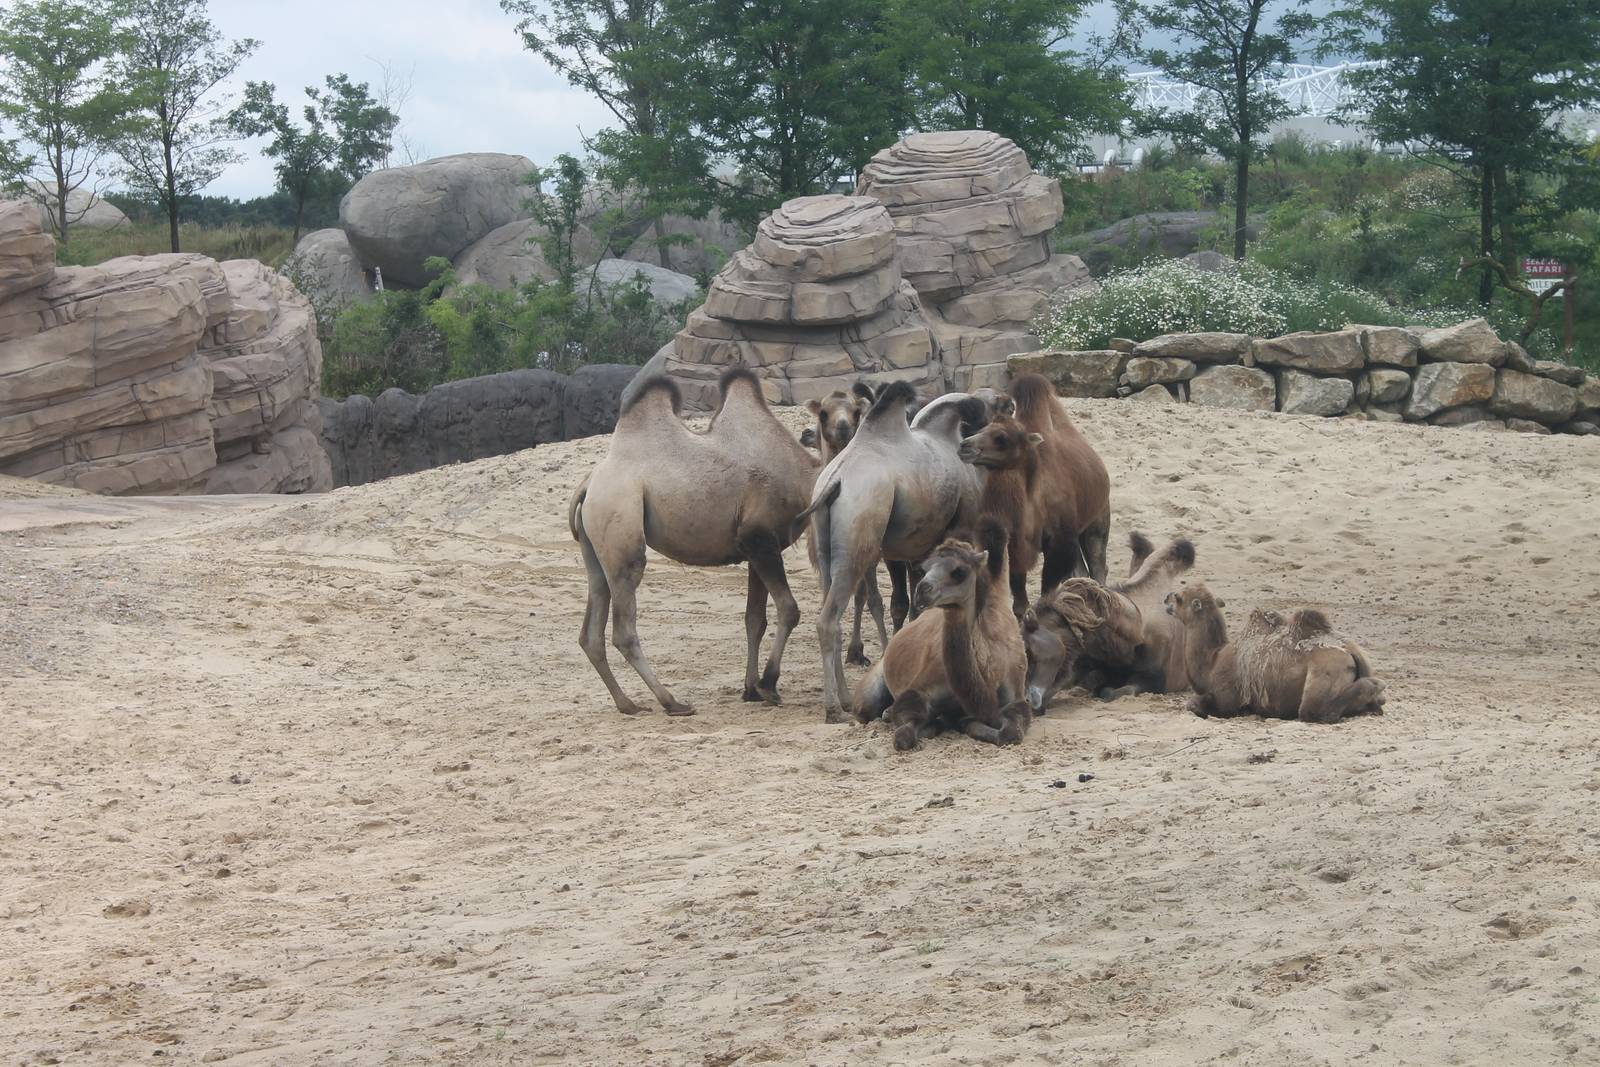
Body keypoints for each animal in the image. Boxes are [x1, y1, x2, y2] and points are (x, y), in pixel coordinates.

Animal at [570, 368, 817, 715]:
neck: (804, 478)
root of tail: (589, 484)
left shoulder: (756, 549)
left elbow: (755, 619)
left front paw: (750, 689)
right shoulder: (760, 539)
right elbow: (789, 609)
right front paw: (769, 686)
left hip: (595, 547)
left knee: (592, 626)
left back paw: (627, 703)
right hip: (620, 524)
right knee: (624, 627)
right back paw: (671, 702)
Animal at [854, 517, 1032, 749]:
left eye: (960, 571)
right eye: (924, 568)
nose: (922, 590)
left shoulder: (1015, 696)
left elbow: (1010, 732)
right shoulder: (919, 689)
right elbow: (904, 735)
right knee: (865, 707)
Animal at [957, 373, 1112, 614]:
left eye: (1001, 437)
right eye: (984, 428)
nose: (965, 445)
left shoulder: (1058, 541)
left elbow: (1047, 592)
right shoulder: (1012, 542)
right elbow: (1019, 600)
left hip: (1098, 517)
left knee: (1097, 565)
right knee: (1082, 572)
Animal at [1166, 584, 1387, 723]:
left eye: (1179, 598)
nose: (1166, 598)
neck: (1211, 662)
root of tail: (1351, 651)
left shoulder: (1227, 697)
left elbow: (1193, 704)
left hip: (1325, 673)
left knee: (1314, 710)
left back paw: (1376, 686)